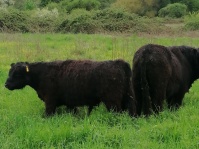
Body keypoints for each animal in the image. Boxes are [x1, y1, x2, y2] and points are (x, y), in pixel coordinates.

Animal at [4, 59, 136, 116]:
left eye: (17, 74)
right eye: (10, 72)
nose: (6, 84)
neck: (41, 74)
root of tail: (118, 62)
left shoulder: (50, 101)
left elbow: (47, 114)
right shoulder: (70, 103)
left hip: (112, 101)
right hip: (127, 96)